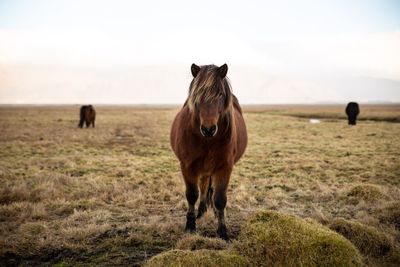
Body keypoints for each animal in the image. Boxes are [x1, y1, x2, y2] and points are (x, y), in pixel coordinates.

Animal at [170, 63, 247, 241]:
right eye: (197, 95)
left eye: (220, 94)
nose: (208, 129)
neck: (207, 140)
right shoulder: (188, 166)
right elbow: (192, 194)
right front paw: (190, 226)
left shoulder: (224, 167)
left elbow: (220, 199)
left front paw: (223, 232)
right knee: (204, 186)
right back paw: (201, 211)